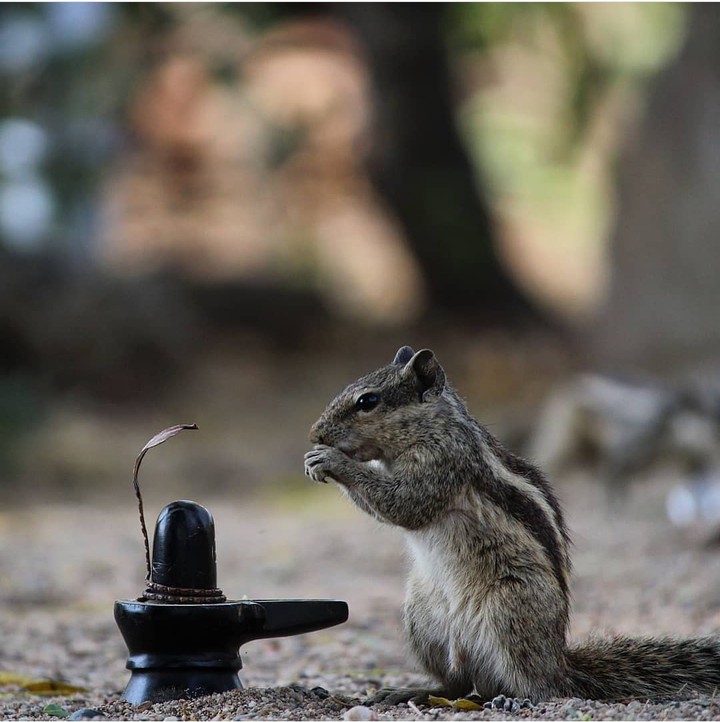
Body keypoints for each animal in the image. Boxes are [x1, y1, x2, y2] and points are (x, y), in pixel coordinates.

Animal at [304, 346, 720, 704]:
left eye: (368, 402)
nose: (315, 434)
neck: (432, 426)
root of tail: (560, 662)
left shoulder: (443, 463)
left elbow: (405, 505)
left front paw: (331, 461)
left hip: (509, 609)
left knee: (537, 688)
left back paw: (513, 697)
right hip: (422, 616)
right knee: (457, 685)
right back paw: (409, 692)